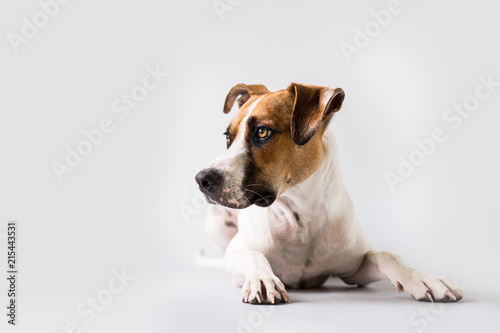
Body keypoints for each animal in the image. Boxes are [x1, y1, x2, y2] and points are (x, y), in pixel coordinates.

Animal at [195, 83, 464, 304]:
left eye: (262, 132)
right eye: (228, 137)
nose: (201, 179)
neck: (300, 216)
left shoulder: (356, 268)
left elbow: (387, 255)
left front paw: (422, 279)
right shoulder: (237, 251)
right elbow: (252, 255)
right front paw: (263, 279)